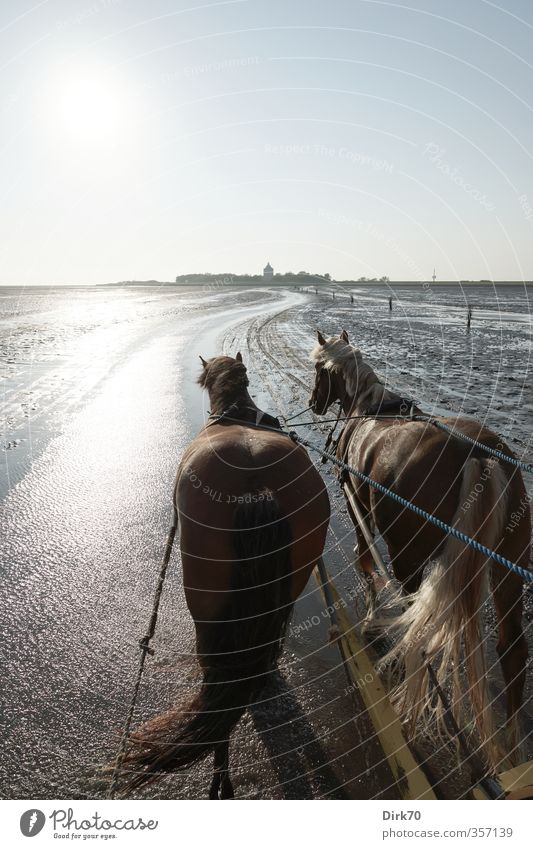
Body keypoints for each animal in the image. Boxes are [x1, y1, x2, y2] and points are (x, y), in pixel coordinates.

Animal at [310, 330, 528, 760]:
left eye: (317, 371)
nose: (312, 403)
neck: (368, 407)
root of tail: (478, 453)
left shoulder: (358, 508)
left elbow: (364, 563)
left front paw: (371, 621)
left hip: (407, 556)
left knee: (413, 617)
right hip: (507, 568)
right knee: (512, 648)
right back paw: (512, 745)